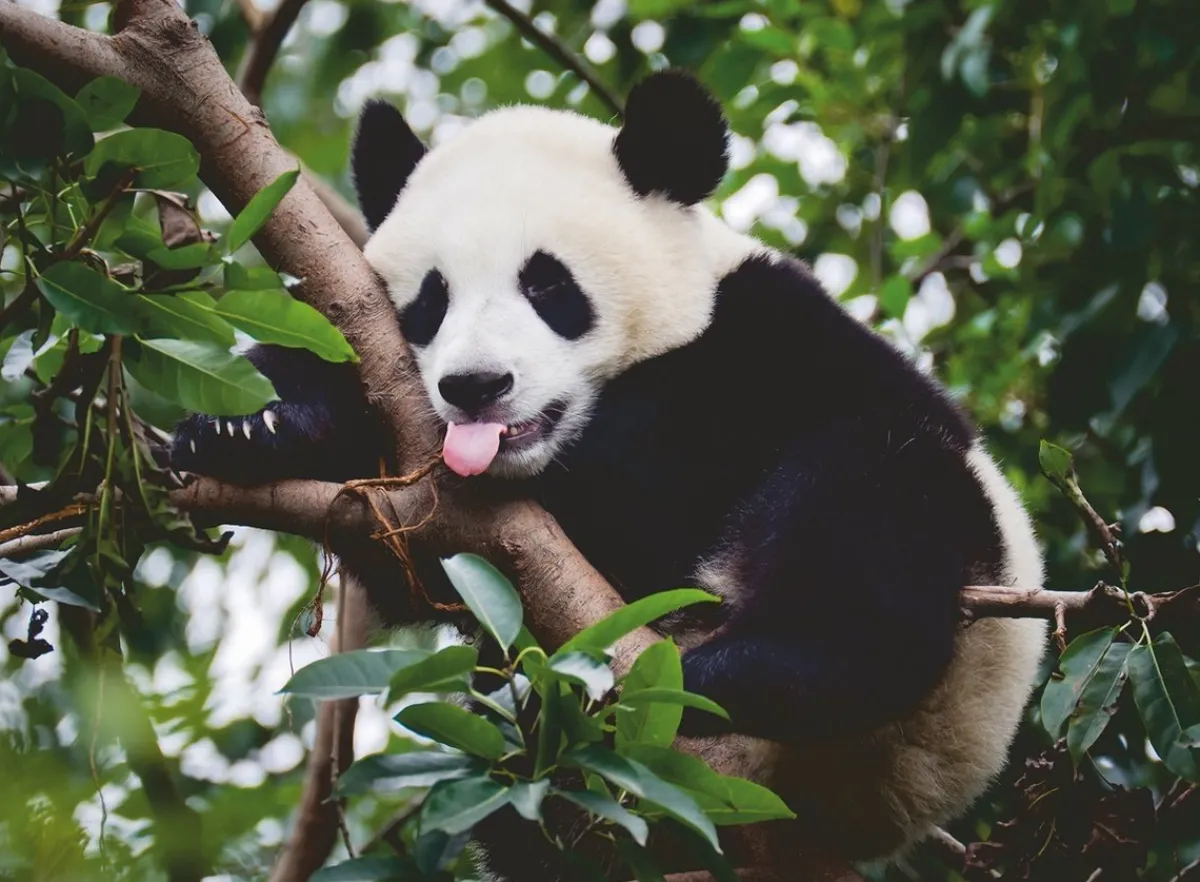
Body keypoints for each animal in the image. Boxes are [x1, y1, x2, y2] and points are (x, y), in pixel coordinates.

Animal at [173, 70, 1047, 876]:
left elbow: (648, 481)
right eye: (431, 299)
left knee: (873, 502)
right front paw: (248, 424)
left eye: (548, 285)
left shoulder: (768, 344)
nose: (476, 386)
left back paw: (746, 671)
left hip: (949, 666)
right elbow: (410, 558)